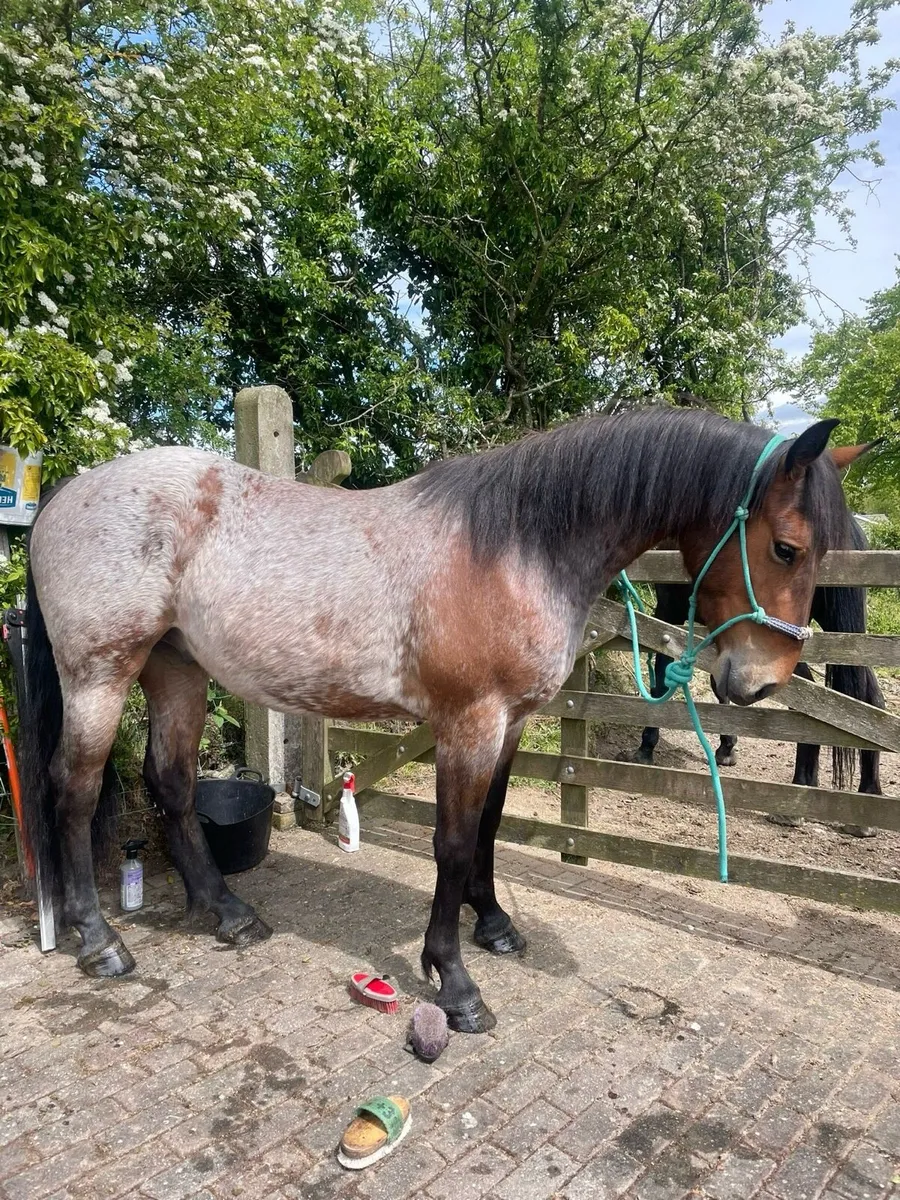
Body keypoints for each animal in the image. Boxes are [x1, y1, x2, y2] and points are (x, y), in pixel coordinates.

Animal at [624, 518, 885, 830]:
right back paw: (864, 801)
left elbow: (663, 676)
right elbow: (720, 685)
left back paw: (800, 792)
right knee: (871, 700)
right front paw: (726, 748)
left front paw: (646, 748)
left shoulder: (669, 614)